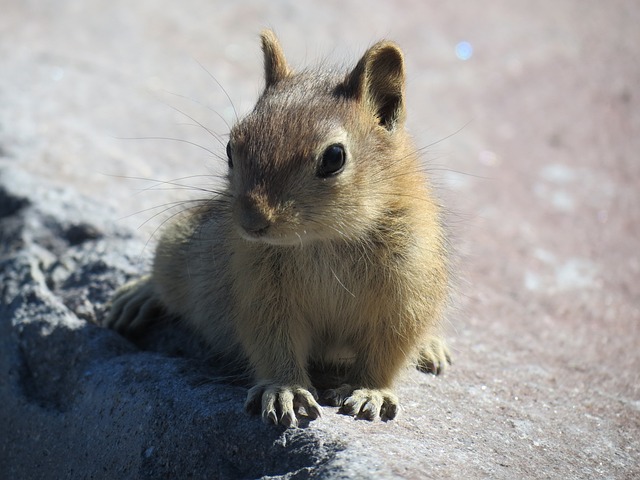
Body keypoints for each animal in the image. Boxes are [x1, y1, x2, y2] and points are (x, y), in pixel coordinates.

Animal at [106, 30, 450, 428]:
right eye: (231, 146)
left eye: (334, 157)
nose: (251, 221)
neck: (324, 239)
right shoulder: (260, 289)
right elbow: (272, 339)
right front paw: (286, 390)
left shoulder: (405, 293)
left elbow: (388, 350)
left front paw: (371, 391)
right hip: (178, 249)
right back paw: (138, 295)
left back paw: (431, 348)